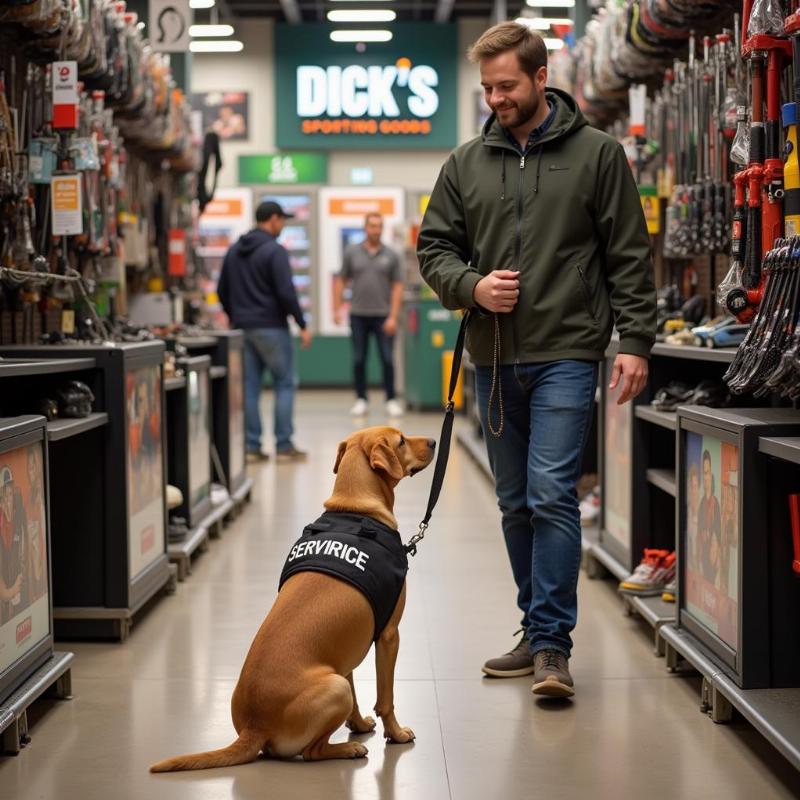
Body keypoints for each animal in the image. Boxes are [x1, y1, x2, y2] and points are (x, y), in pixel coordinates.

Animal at [152, 428, 438, 772]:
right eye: (401, 441)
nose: (435, 442)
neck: (356, 510)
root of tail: (254, 727)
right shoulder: (388, 635)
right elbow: (386, 698)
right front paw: (395, 733)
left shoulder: (345, 648)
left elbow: (357, 695)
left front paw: (358, 724)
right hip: (335, 687)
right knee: (313, 752)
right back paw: (348, 749)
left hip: (334, 679)